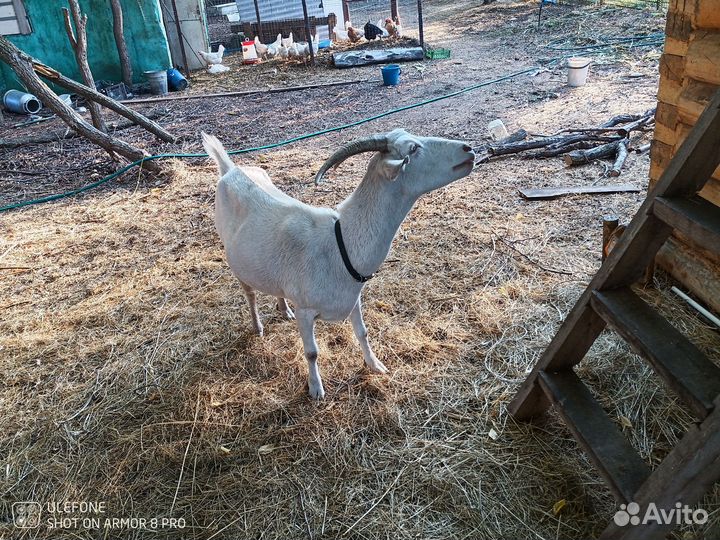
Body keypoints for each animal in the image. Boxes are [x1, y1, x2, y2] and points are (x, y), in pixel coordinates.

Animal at [202, 129, 475, 399]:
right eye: (413, 149)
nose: (469, 149)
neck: (339, 243)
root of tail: (230, 169)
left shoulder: (353, 298)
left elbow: (363, 333)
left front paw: (376, 365)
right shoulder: (305, 310)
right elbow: (312, 352)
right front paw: (316, 389)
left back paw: (284, 309)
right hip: (235, 261)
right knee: (249, 294)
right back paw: (257, 327)